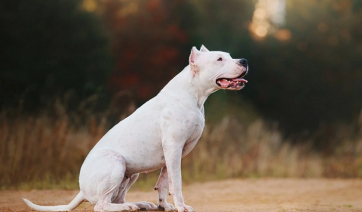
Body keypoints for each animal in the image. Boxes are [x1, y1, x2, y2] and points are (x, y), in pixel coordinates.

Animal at [23, 45, 249, 211]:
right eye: (219, 59)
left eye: (230, 56)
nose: (244, 61)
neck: (194, 95)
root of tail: (81, 191)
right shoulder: (173, 147)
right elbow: (176, 182)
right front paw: (181, 206)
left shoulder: (171, 153)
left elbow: (163, 182)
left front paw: (164, 206)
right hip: (116, 163)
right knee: (102, 205)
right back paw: (128, 207)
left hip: (130, 174)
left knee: (116, 199)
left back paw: (139, 204)